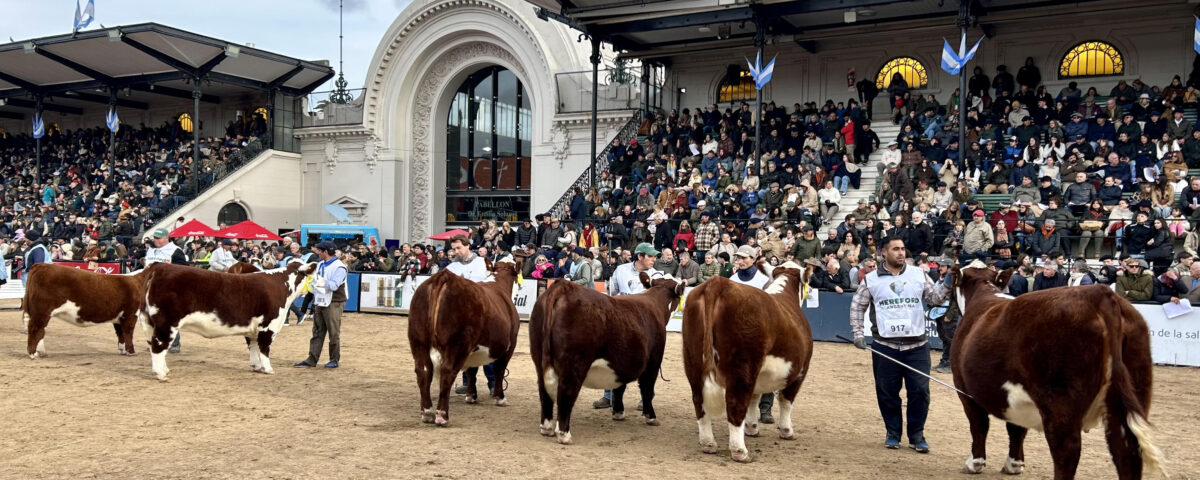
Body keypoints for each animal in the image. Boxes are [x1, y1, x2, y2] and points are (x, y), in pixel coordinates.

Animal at [140, 260, 316, 381]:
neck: (282, 285)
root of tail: (159, 266)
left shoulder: (252, 329)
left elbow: (253, 347)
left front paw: (256, 366)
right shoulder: (268, 326)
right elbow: (264, 348)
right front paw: (268, 369)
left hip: (149, 322)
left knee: (154, 345)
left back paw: (164, 370)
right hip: (167, 322)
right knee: (159, 345)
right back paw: (161, 374)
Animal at [407, 256, 522, 426]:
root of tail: (444, 276)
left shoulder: (473, 350)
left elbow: (471, 371)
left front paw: (471, 396)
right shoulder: (510, 345)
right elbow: (499, 370)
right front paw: (500, 398)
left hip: (418, 341)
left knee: (423, 372)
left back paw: (427, 412)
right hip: (457, 344)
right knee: (447, 372)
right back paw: (442, 416)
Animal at [529, 272, 684, 445]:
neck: (654, 303)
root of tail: (564, 286)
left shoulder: (621, 363)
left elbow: (619, 388)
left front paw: (618, 412)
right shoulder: (653, 361)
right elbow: (647, 388)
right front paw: (651, 417)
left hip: (539, 358)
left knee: (544, 391)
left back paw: (546, 427)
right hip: (574, 363)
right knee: (566, 392)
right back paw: (564, 434)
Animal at [681, 260, 814, 463]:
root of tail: (719, 283)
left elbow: (754, 398)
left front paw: (752, 428)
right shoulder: (800, 371)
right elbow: (785, 400)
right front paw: (786, 431)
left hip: (693, 359)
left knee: (699, 400)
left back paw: (708, 443)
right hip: (743, 365)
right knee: (735, 403)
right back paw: (739, 451)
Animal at [948, 261, 1164, 479]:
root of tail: (1099, 294)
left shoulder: (964, 389)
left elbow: (979, 425)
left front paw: (975, 463)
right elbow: (1016, 428)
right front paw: (1014, 464)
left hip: (1059, 402)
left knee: (1066, 451)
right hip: (1130, 394)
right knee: (1126, 451)